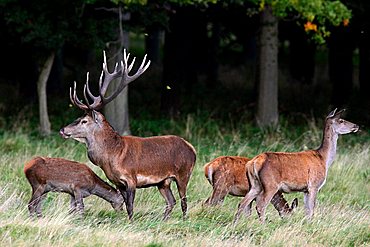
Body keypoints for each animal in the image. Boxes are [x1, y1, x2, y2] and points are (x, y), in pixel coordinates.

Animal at [60, 50, 197, 220]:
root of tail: (192, 149)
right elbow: (125, 205)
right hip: (163, 181)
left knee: (184, 201)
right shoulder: (117, 182)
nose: (63, 130)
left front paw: (130, 222)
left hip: (184, 173)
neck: (111, 156)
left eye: (84, 121)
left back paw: (184, 220)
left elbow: (130, 206)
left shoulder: (131, 178)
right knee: (171, 201)